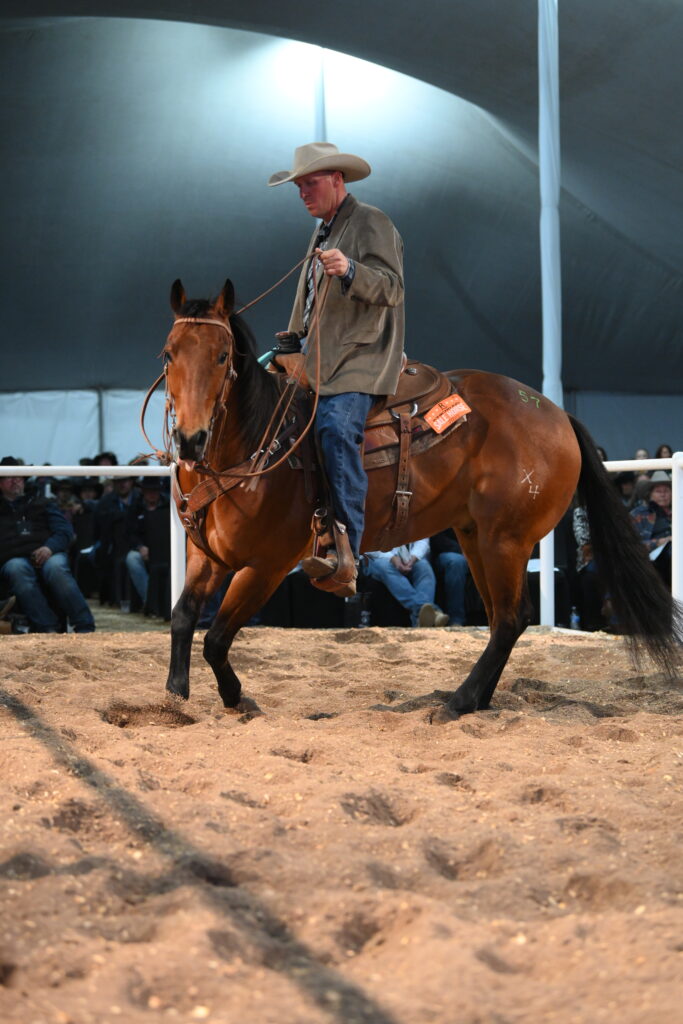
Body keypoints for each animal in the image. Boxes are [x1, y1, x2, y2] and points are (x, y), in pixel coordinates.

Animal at [161, 278, 681, 720]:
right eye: (168, 355)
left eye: (223, 356)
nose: (190, 440)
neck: (256, 444)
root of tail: (557, 415)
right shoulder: (205, 556)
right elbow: (183, 617)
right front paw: (174, 696)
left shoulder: (266, 566)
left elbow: (216, 638)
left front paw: (237, 698)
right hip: (475, 537)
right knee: (503, 618)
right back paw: (479, 701)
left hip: (506, 539)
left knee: (511, 619)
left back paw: (459, 702)